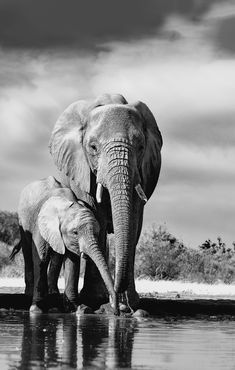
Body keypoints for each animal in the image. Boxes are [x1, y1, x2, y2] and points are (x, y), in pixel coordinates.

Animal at [11, 176, 117, 312]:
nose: (116, 310)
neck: (67, 204)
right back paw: (30, 294)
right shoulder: (40, 225)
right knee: (28, 253)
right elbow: (41, 259)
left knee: (57, 257)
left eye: (97, 233)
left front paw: (78, 308)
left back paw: (53, 294)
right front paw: (36, 309)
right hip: (22, 221)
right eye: (75, 232)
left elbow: (73, 262)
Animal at [49, 92, 162, 310]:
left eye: (141, 146)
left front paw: (131, 304)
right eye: (93, 147)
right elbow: (96, 216)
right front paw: (96, 300)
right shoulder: (81, 170)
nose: (117, 304)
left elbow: (134, 221)